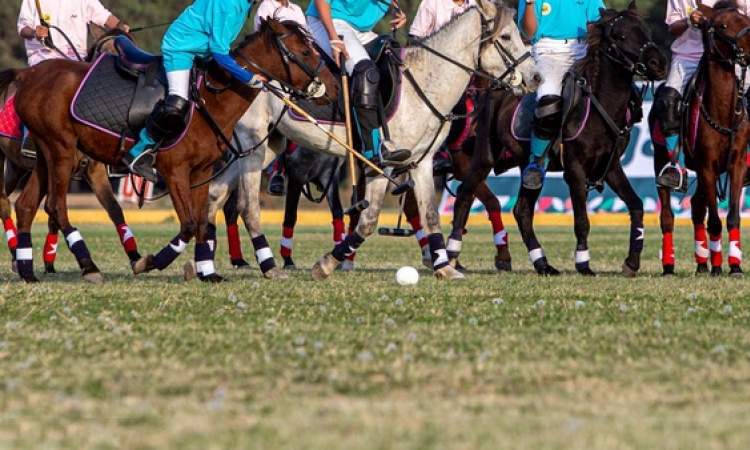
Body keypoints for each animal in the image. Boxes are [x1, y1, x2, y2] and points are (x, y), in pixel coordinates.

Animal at [2, 21, 332, 284]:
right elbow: (188, 224)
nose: (326, 89)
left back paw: (28, 272)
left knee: (26, 205)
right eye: (305, 52)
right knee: (54, 206)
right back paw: (89, 267)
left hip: (45, 153)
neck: (210, 100)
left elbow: (201, 222)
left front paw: (208, 272)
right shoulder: (174, 171)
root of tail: (27, 75)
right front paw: (150, 262)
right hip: (61, 150)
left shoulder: (200, 171)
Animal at [203, 0, 536, 282]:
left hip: (268, 144)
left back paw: (200, 264)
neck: (425, 82)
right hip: (254, 143)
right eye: (506, 36)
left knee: (216, 191)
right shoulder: (381, 163)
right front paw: (326, 264)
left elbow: (428, 213)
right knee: (246, 205)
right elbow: (368, 218)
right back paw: (267, 266)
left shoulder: (421, 161)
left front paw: (444, 267)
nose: (534, 78)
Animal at [450, 1, 668, 276]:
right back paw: (451, 254)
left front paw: (631, 261)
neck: (600, 105)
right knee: (465, 194)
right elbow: (582, 220)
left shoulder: (611, 167)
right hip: (483, 156)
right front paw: (584, 264)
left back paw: (542, 263)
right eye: (620, 36)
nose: (659, 63)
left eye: (645, 30)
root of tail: (494, 87)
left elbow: (637, 205)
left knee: (522, 209)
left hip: (528, 163)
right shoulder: (574, 169)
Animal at [652, 2, 750, 278]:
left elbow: (733, 217)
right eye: (723, 26)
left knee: (696, 207)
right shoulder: (707, 165)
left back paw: (701, 262)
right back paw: (670, 265)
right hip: (661, 159)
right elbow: (715, 221)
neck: (723, 111)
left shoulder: (736, 164)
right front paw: (718, 267)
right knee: (667, 216)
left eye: (746, 19)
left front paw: (734, 265)